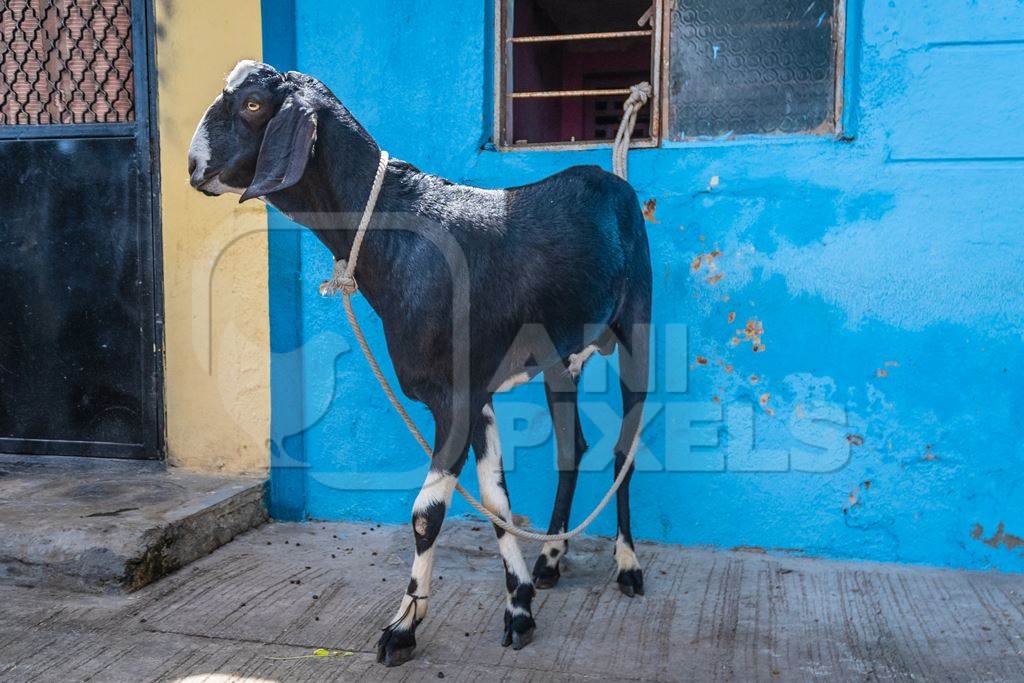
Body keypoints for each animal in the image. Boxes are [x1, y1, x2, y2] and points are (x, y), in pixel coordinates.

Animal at [188, 61, 651, 671]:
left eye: (252, 105)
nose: (194, 165)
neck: (395, 232)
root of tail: (614, 177)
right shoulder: (476, 391)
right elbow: (497, 499)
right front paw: (520, 605)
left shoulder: (453, 396)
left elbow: (426, 512)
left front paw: (403, 627)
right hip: (560, 358)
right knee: (572, 448)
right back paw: (552, 557)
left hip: (638, 321)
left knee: (625, 448)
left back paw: (628, 566)